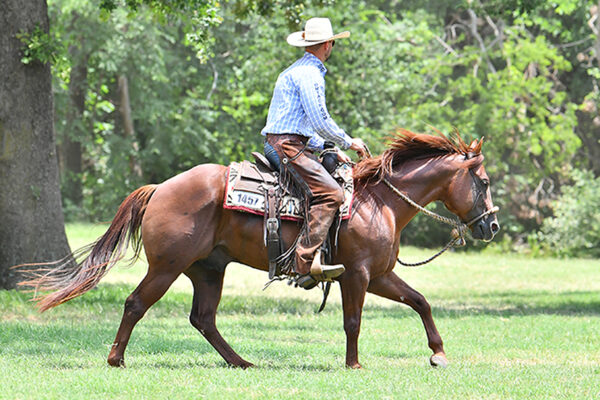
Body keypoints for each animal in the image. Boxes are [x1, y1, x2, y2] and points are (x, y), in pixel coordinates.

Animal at [21, 130, 500, 368]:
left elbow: (420, 301)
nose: (492, 225)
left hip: (207, 269)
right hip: (167, 266)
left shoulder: (381, 274)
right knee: (136, 303)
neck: (376, 200)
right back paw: (116, 359)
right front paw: (354, 366)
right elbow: (353, 322)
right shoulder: (358, 275)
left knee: (203, 319)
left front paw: (438, 353)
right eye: (484, 181)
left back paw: (242, 363)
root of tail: (160, 188)